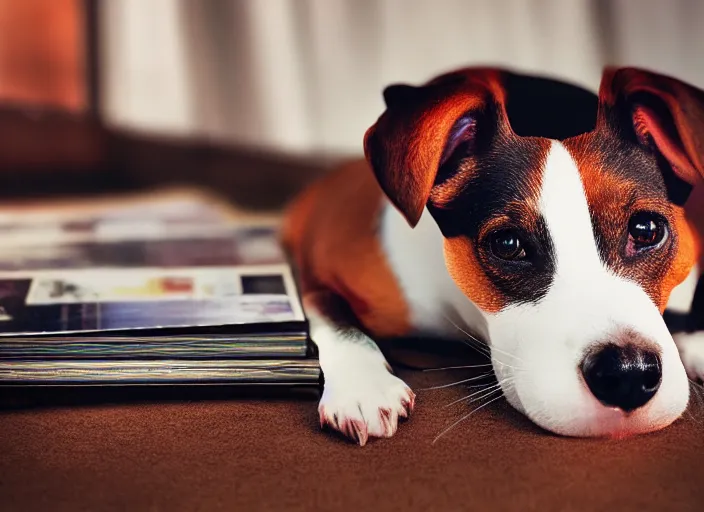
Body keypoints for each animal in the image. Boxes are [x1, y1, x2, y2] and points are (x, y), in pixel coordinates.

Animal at [280, 67, 704, 444]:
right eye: (508, 245)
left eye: (646, 229)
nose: (628, 375)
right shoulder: (322, 275)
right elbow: (332, 314)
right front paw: (362, 384)